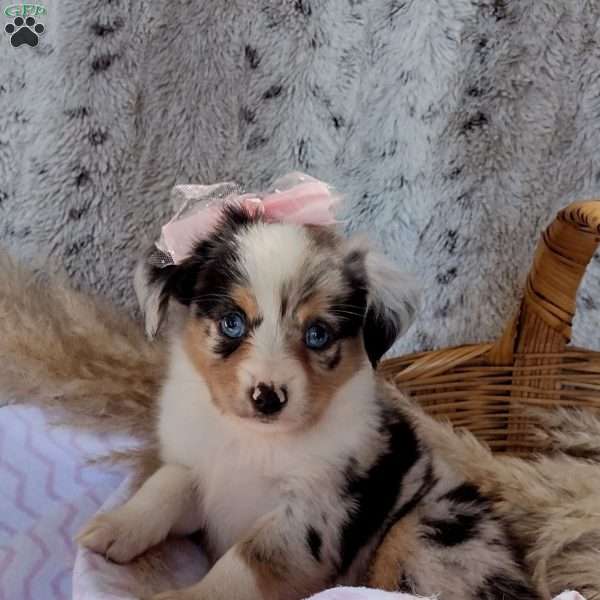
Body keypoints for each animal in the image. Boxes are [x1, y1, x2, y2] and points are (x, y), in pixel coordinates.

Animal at [75, 207, 540, 600]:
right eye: (232, 322)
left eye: (318, 334)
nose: (268, 397)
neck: (252, 439)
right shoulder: (203, 475)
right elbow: (166, 483)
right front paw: (117, 526)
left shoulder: (310, 514)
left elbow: (244, 564)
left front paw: (190, 597)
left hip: (427, 536)